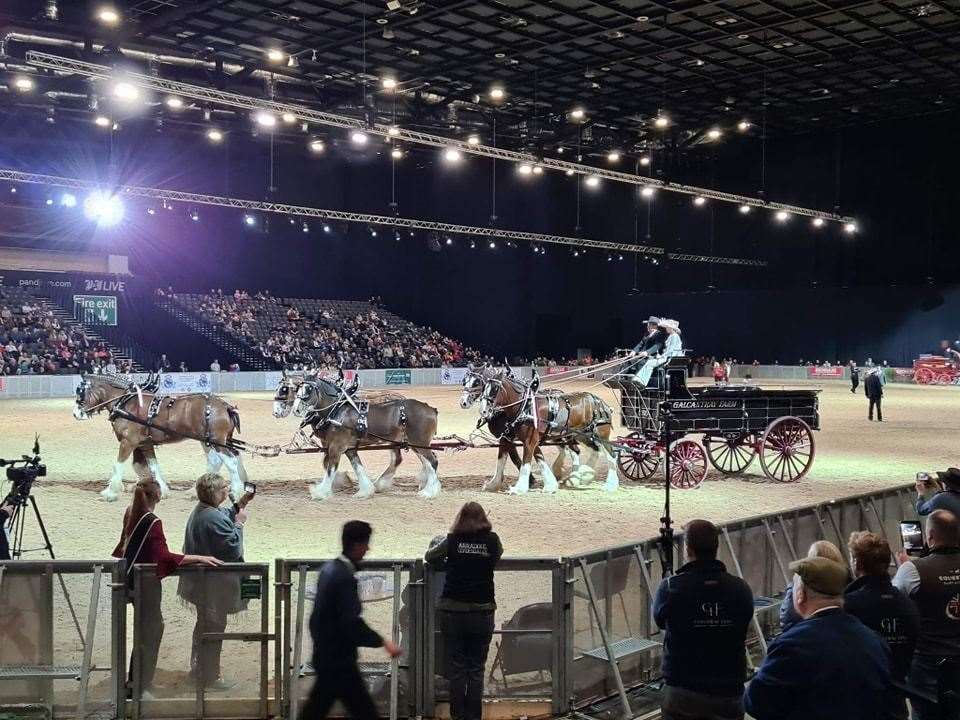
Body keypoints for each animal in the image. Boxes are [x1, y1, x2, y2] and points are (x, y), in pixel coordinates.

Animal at [75, 376, 248, 500]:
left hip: (217, 441)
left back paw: (236, 491)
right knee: (219, 460)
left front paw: (110, 492)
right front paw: (162, 490)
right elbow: (151, 466)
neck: (126, 404)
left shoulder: (128, 442)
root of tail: (226, 406)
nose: (76, 414)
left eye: (81, 393)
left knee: (230, 462)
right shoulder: (145, 443)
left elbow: (118, 465)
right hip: (209, 441)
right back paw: (196, 490)